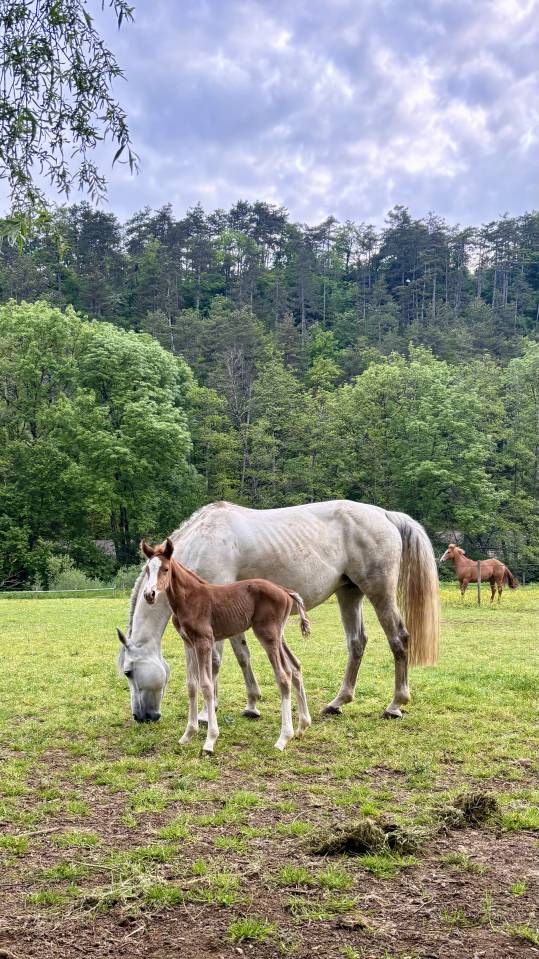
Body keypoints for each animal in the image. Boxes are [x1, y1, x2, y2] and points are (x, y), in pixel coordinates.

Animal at [117, 500, 440, 726]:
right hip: (349, 594)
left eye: (128, 672)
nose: (141, 717)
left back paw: (395, 705)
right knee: (357, 643)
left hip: (379, 592)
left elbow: (216, 662)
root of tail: (384, 514)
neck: (201, 544)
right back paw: (337, 702)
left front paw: (208, 715)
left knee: (399, 639)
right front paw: (251, 705)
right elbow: (242, 656)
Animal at [127, 537, 311, 753]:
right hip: (278, 636)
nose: (150, 594)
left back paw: (283, 738)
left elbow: (206, 685)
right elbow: (191, 685)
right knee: (295, 667)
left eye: (165, 569)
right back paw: (302, 727)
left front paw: (210, 740)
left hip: (267, 635)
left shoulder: (204, 641)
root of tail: (285, 590)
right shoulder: (188, 643)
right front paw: (188, 734)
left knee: (283, 675)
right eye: (148, 569)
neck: (189, 599)